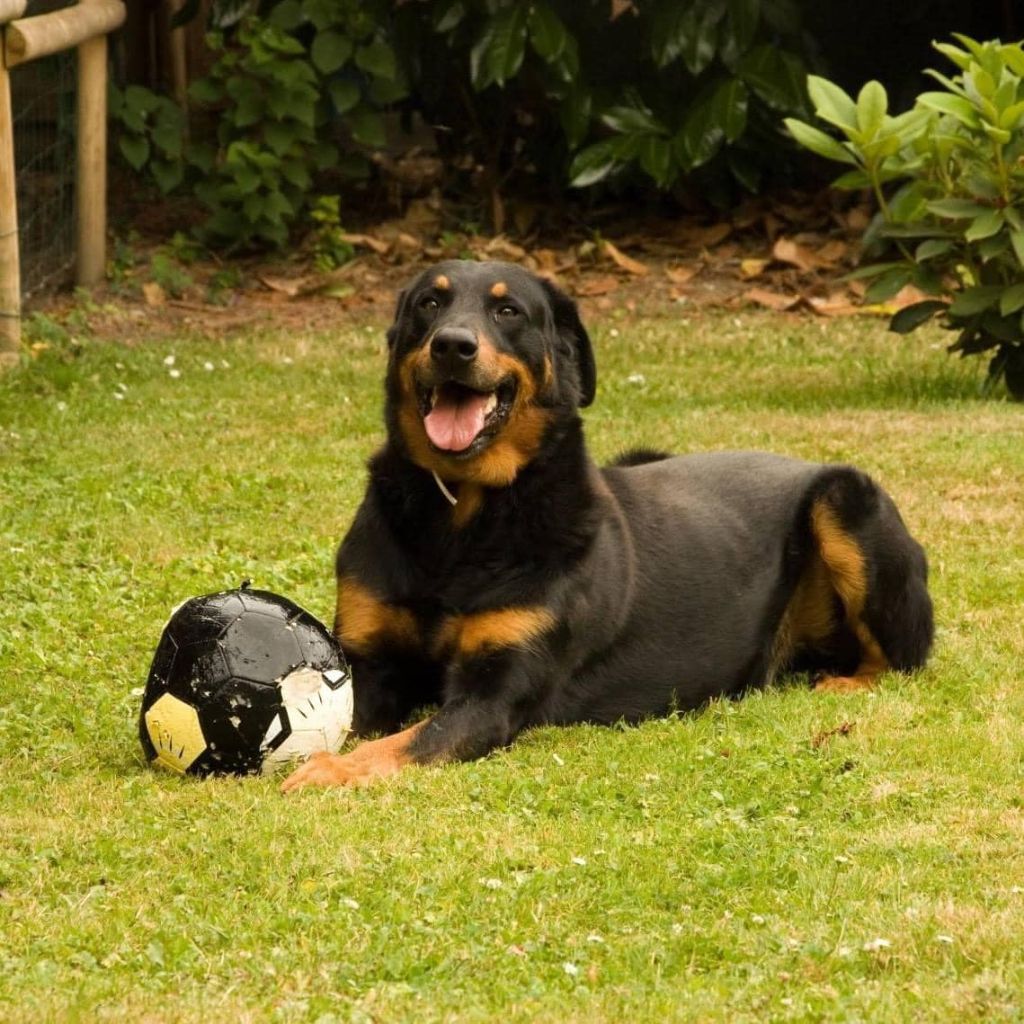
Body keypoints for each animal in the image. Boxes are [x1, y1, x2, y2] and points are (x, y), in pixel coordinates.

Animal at [278, 262, 929, 790]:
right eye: (428, 303)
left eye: (508, 311)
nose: (452, 346)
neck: (462, 517)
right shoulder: (369, 663)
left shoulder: (495, 696)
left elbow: (406, 741)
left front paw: (329, 770)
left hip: (845, 501)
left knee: (901, 661)